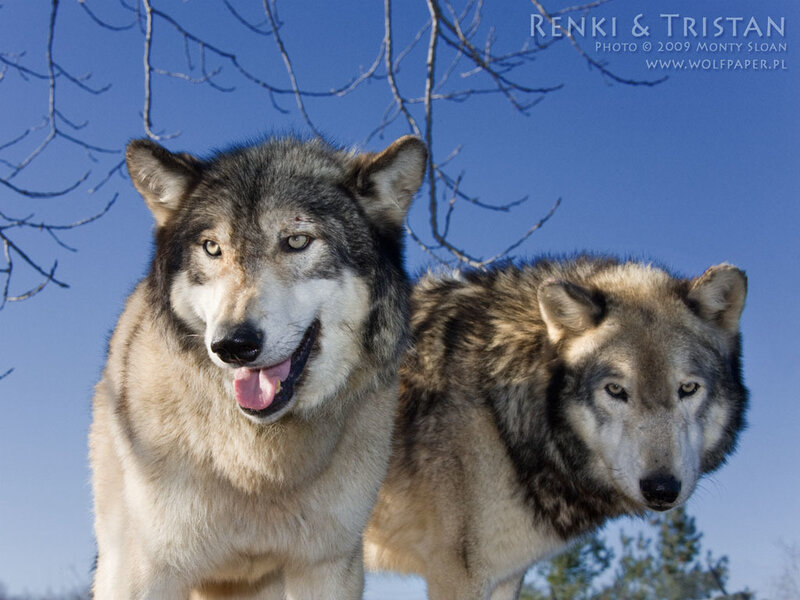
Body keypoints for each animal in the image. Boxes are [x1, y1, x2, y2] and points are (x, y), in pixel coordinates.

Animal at [89, 134, 426, 599]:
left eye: (297, 241)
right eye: (212, 248)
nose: (232, 345)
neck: (257, 468)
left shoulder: (327, 565)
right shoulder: (148, 570)